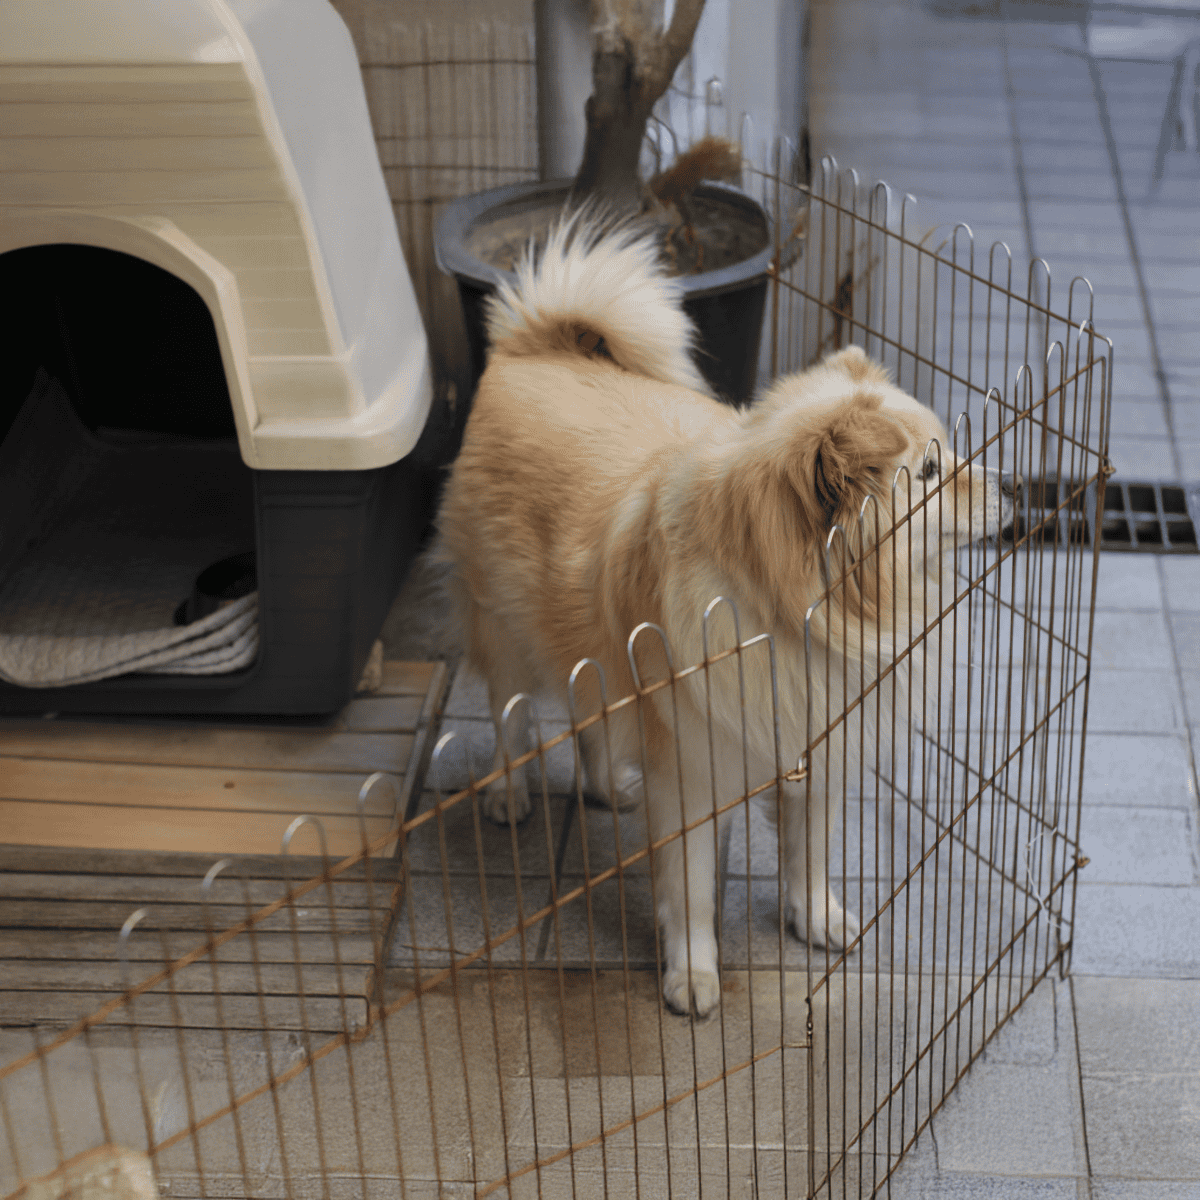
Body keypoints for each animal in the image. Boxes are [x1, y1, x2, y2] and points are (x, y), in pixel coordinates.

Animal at [437, 216, 1014, 1017]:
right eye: (930, 473)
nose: (1011, 489)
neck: (800, 614)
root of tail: (537, 346)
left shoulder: (816, 749)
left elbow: (810, 852)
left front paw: (815, 919)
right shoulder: (691, 780)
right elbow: (692, 892)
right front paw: (692, 975)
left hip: (587, 648)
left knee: (588, 713)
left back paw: (604, 787)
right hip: (505, 626)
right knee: (509, 713)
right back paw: (508, 793)